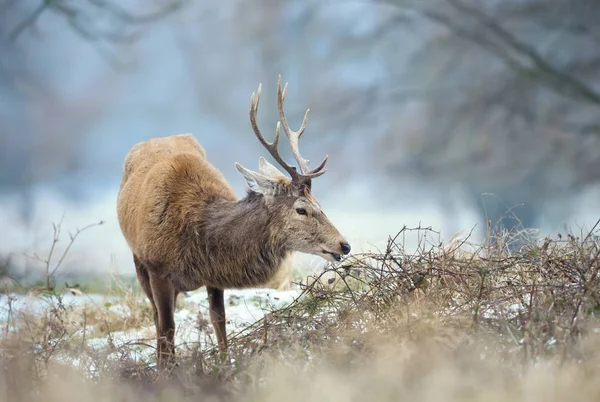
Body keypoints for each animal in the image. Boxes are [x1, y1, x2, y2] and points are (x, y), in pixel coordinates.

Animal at [115, 75, 350, 368]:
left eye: (320, 204)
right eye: (301, 209)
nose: (344, 245)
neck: (195, 238)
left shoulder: (214, 275)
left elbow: (219, 321)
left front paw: (225, 366)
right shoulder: (157, 268)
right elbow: (167, 328)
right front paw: (165, 372)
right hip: (139, 262)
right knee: (158, 318)